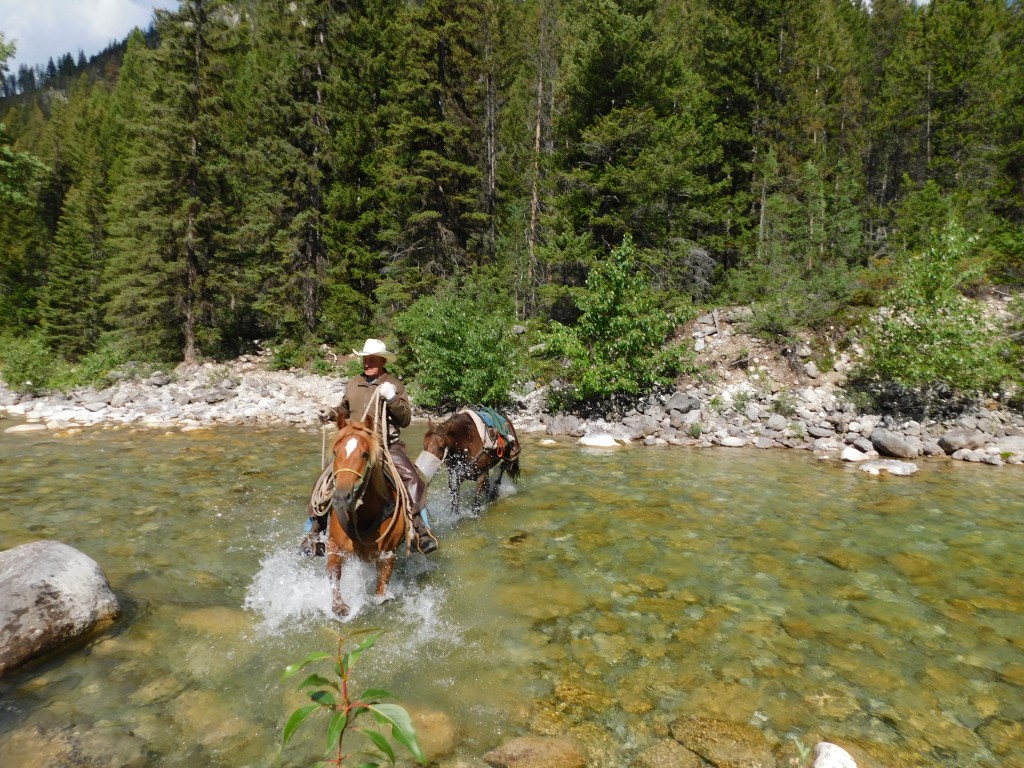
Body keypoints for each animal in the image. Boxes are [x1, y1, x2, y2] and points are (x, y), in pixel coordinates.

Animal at [325, 415, 409, 618]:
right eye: (335, 452)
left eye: (364, 454)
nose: (342, 497)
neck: (361, 519)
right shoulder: (334, 546)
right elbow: (333, 571)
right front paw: (339, 606)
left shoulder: (387, 555)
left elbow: (381, 590)